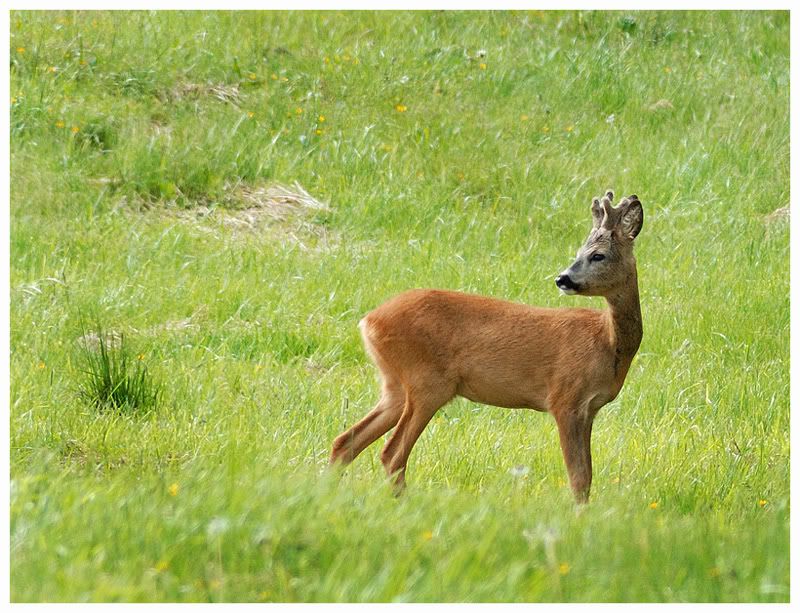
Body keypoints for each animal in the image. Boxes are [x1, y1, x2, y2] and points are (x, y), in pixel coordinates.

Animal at [330, 190, 644, 502]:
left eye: (597, 255)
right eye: (580, 252)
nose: (562, 279)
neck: (607, 342)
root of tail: (369, 321)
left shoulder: (589, 409)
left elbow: (588, 476)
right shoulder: (565, 399)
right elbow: (578, 478)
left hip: (395, 385)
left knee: (345, 441)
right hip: (427, 383)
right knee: (391, 453)